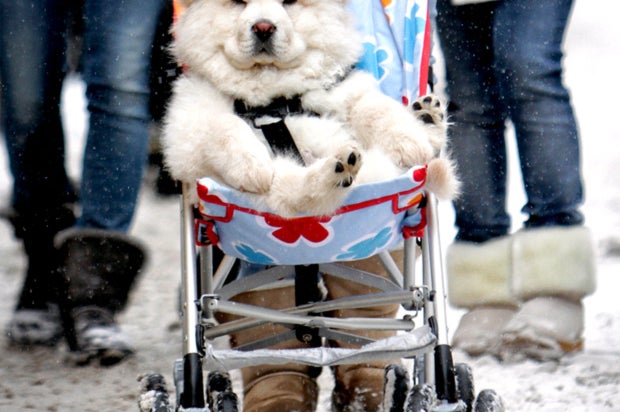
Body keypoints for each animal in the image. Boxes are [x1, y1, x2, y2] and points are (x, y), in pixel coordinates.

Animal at [163, 0, 457, 217]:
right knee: (297, 194)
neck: (273, 98)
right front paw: (252, 165)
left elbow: (374, 109)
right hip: (261, 193)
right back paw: (338, 170)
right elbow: (223, 125)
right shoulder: (187, 130)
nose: (263, 27)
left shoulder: (344, 90)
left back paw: (428, 118)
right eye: (238, 2)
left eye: (289, 2)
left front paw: (410, 142)